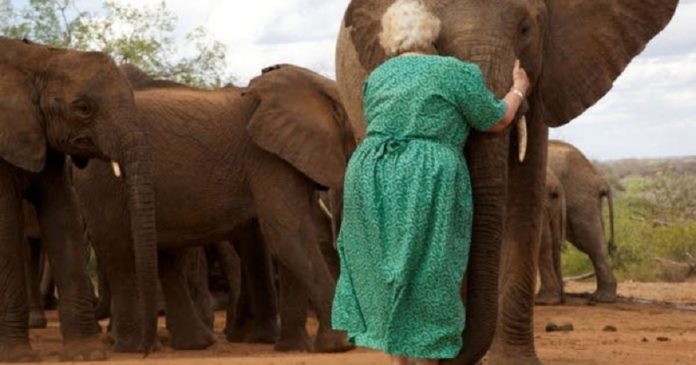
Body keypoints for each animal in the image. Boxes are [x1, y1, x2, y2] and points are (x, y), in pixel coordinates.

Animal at [0, 35, 159, 360]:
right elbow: (6, 225)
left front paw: (87, 354)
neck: (38, 59)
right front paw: (19, 357)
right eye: (83, 108)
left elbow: (64, 216)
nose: (144, 351)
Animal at [72, 63, 356, 352]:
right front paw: (339, 345)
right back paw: (135, 347)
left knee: (165, 256)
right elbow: (289, 236)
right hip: (101, 182)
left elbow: (294, 239)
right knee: (118, 251)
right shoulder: (267, 160)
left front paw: (293, 348)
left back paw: (192, 344)